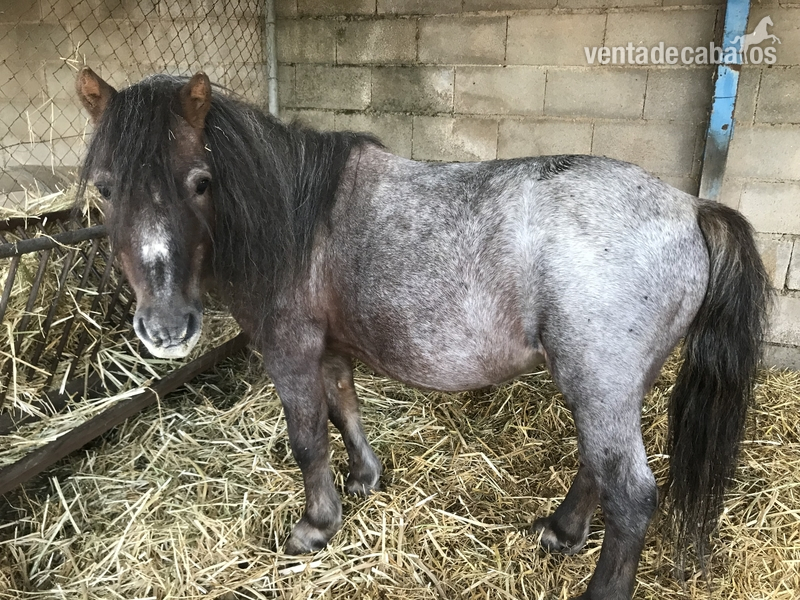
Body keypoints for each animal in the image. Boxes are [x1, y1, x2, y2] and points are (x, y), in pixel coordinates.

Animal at [75, 67, 769, 600]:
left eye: (200, 182)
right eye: (106, 189)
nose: (166, 328)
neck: (297, 222)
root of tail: (690, 208)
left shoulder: (290, 350)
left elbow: (307, 439)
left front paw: (315, 526)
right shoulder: (330, 350)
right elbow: (344, 410)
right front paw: (363, 479)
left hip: (600, 385)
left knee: (630, 496)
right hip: (610, 390)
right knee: (597, 468)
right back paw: (564, 532)